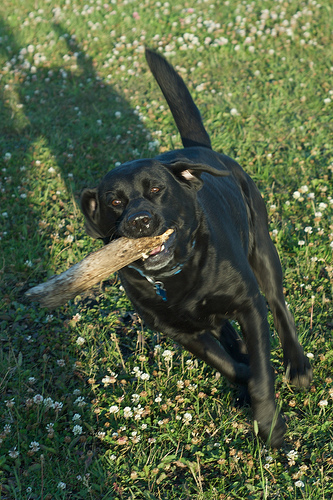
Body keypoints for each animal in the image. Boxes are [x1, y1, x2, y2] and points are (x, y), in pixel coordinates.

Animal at [80, 48, 312, 448]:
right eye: (115, 202)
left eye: (157, 189)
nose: (139, 221)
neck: (180, 274)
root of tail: (198, 150)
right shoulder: (181, 332)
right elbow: (232, 366)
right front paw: (244, 377)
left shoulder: (249, 303)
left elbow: (262, 372)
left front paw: (270, 425)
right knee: (228, 333)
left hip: (263, 251)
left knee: (280, 308)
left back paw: (296, 365)